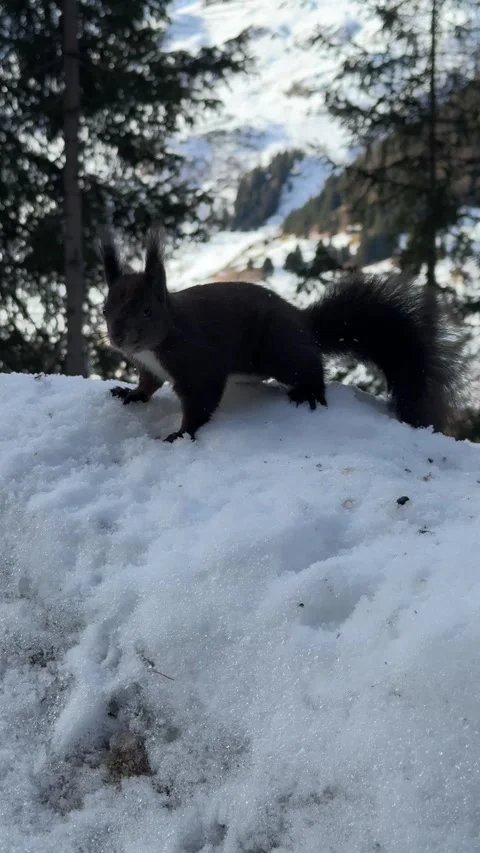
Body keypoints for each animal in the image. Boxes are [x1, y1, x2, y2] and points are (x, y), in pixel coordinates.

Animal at [100, 227, 465, 443]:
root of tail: (304, 323)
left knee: (310, 368)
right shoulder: (150, 366)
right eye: (104, 309)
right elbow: (148, 384)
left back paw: (309, 394)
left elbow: (201, 402)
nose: (118, 338)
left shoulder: (199, 363)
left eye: (147, 311)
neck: (160, 340)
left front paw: (182, 432)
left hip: (280, 350)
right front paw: (131, 394)